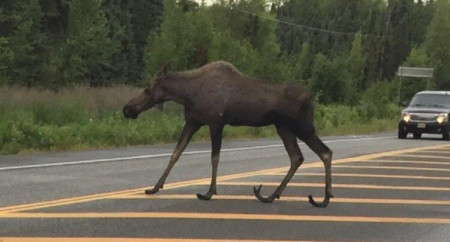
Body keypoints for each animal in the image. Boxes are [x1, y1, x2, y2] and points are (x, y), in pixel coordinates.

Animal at [123, 60, 334, 206]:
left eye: (147, 89)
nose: (127, 109)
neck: (187, 94)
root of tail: (312, 98)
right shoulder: (193, 122)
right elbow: (175, 153)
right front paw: (154, 187)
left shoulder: (216, 122)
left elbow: (214, 157)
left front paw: (209, 192)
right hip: (283, 127)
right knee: (296, 157)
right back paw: (271, 195)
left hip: (302, 126)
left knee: (325, 152)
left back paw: (324, 199)